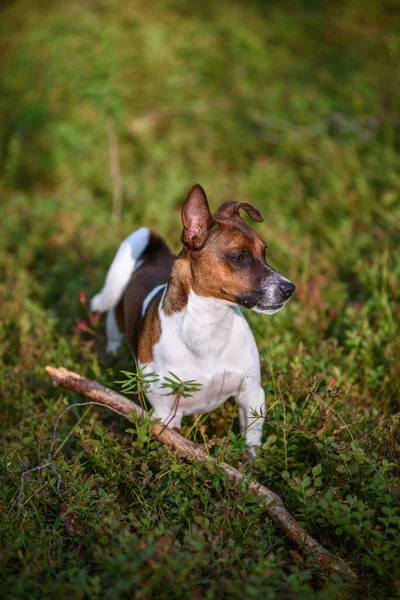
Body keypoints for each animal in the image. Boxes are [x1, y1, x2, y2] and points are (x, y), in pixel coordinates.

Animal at [92, 185, 296, 452]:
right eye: (239, 257)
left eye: (264, 252)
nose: (289, 288)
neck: (210, 325)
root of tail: (156, 252)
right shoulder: (167, 414)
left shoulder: (252, 395)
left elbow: (251, 441)